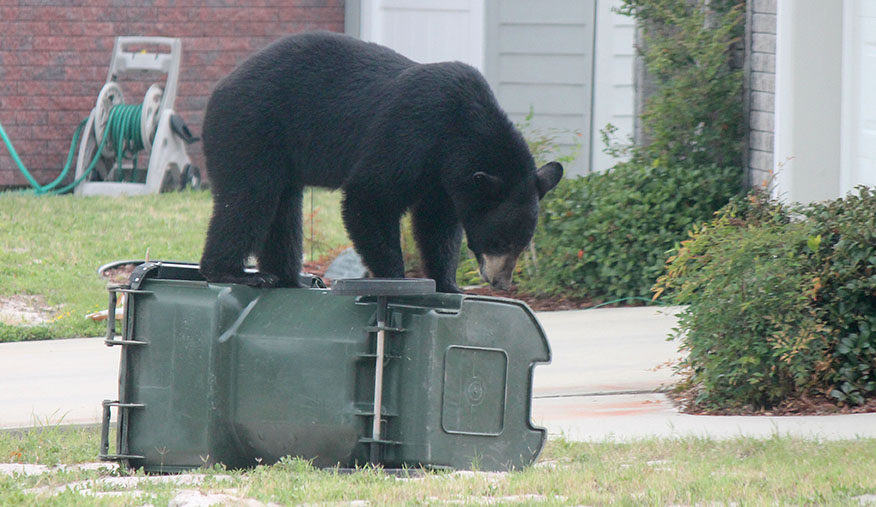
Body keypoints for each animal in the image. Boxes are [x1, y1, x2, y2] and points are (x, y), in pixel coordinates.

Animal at [198, 31, 563, 293]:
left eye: (523, 243)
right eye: (499, 241)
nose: (501, 283)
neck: (460, 129)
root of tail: (221, 86)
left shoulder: (442, 176)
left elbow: (437, 223)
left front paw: (449, 284)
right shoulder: (412, 131)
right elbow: (370, 196)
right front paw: (396, 278)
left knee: (284, 208)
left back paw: (290, 277)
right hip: (253, 128)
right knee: (249, 198)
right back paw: (234, 273)